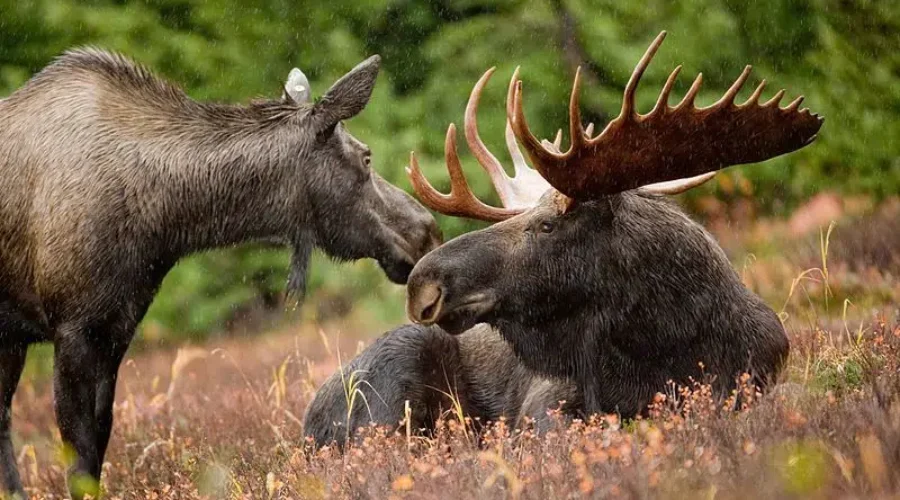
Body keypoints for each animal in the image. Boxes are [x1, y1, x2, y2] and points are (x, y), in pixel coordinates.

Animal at [0, 49, 442, 498]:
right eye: (366, 156)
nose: (427, 230)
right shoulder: (72, 327)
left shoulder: (116, 327)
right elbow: (78, 453)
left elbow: (99, 440)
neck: (162, 222)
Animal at [303, 31, 823, 448]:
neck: (666, 343)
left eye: (548, 225)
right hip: (397, 372)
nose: (422, 284)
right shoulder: (548, 402)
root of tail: (307, 424)